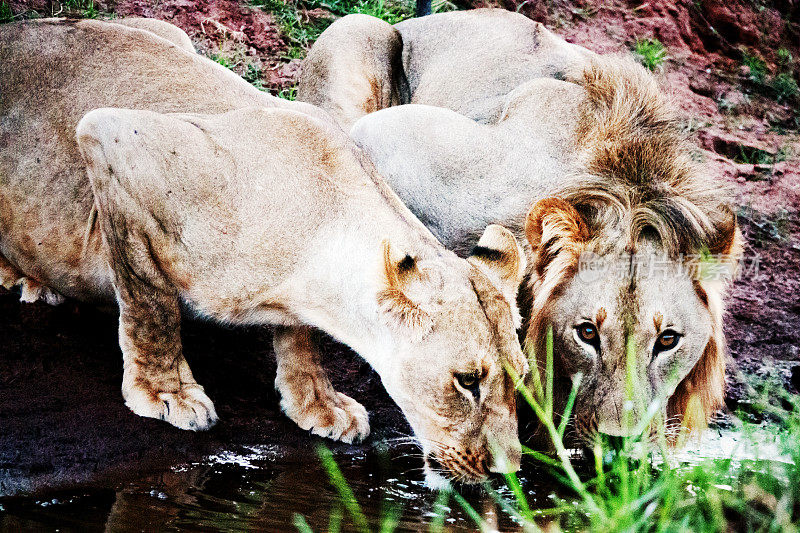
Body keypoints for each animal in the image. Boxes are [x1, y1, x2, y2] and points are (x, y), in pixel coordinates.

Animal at [1, 18, 532, 484]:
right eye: (468, 380)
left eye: (521, 376)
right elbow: (149, 303)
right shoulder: (115, 141)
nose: (508, 472)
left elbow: (300, 335)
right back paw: (24, 278)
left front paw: (318, 403)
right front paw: (166, 393)